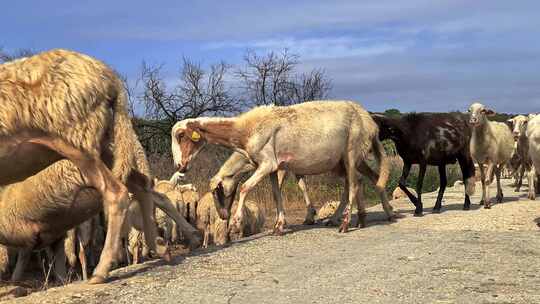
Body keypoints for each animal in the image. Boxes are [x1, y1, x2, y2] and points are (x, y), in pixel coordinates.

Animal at [0, 48, 168, 284]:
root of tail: (109, 77)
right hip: (103, 145)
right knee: (141, 185)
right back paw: (160, 248)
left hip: (79, 141)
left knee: (116, 192)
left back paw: (101, 271)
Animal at [173, 101, 396, 234]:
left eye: (181, 135)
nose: (180, 166)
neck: (244, 131)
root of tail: (369, 121)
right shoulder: (274, 167)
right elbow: (276, 193)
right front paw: (279, 226)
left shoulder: (269, 163)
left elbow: (245, 187)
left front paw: (236, 223)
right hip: (342, 161)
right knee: (362, 180)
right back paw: (366, 218)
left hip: (351, 152)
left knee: (355, 184)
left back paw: (346, 223)